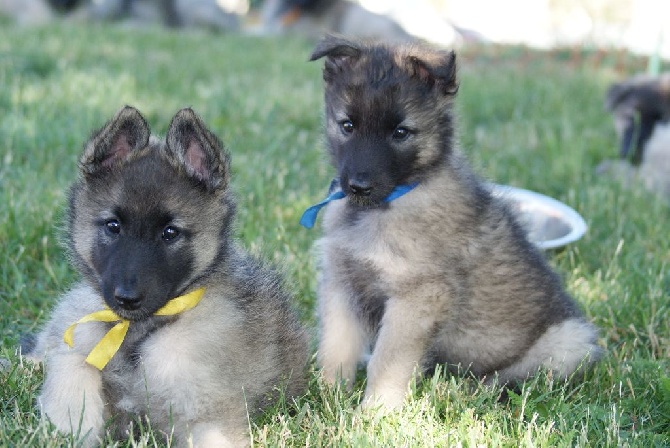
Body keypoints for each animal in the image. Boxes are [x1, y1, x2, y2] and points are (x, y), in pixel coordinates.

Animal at [25, 107, 310, 446]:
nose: (127, 298)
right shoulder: (80, 342)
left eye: (170, 233)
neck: (135, 332)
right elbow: (71, 371)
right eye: (113, 226)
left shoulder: (207, 416)